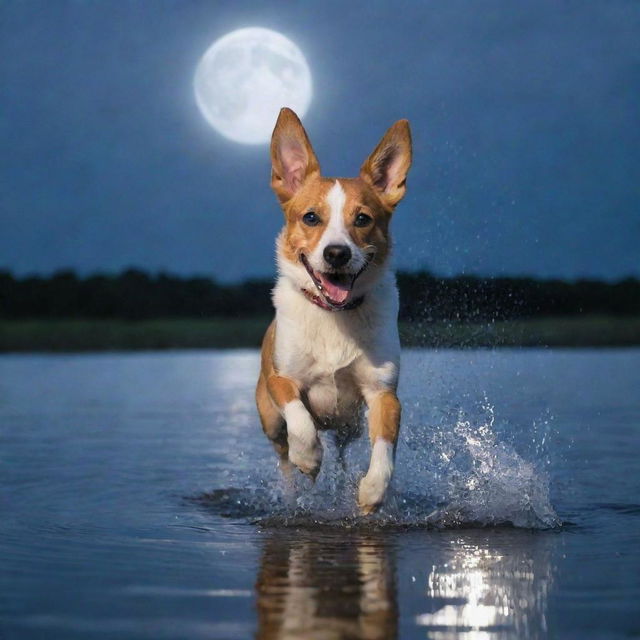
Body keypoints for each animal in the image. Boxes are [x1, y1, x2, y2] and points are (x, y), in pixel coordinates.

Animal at [258, 107, 412, 512]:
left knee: (343, 454)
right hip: (269, 419)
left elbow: (385, 449)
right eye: (311, 217)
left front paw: (373, 491)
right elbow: (300, 419)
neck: (333, 316)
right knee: (283, 455)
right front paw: (309, 457)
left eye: (363, 219)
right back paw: (294, 486)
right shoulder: (282, 380)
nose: (337, 253)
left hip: (349, 426)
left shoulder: (384, 393)